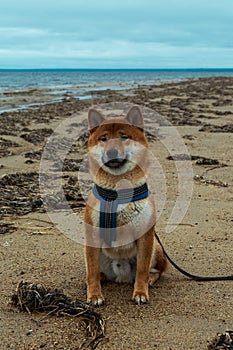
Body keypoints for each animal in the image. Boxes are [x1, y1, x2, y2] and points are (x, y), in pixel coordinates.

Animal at [84, 105, 167, 304]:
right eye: (104, 139)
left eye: (124, 137)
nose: (112, 152)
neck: (117, 192)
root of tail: (122, 277)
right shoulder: (92, 233)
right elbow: (91, 271)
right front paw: (94, 294)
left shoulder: (145, 236)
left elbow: (142, 270)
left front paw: (141, 292)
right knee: (96, 271)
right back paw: (100, 278)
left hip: (156, 247)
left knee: (156, 271)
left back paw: (150, 280)